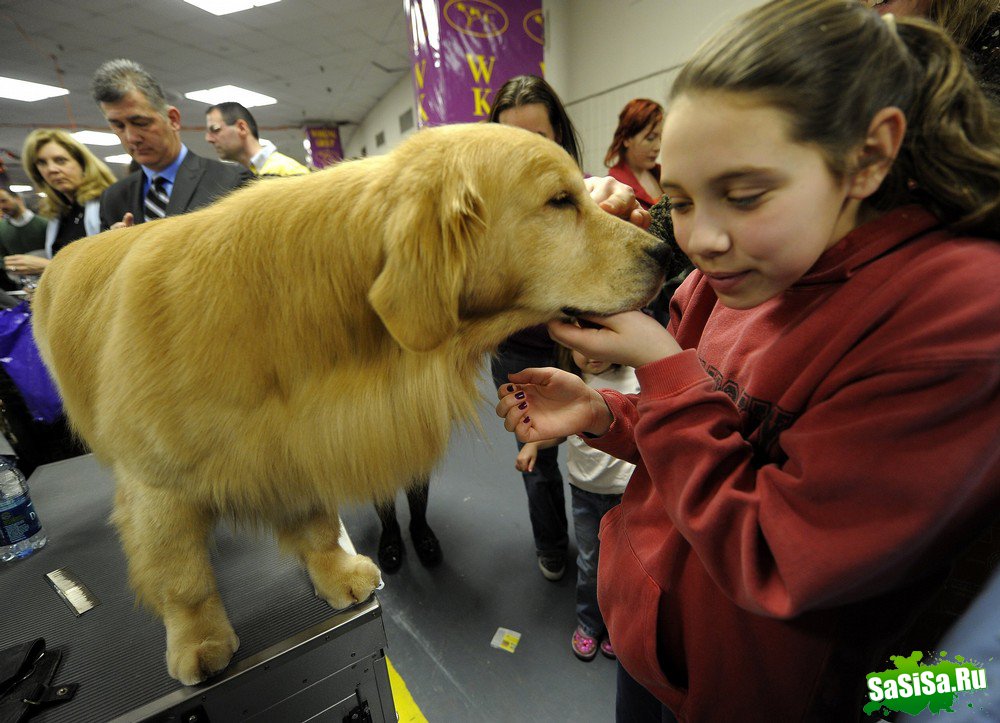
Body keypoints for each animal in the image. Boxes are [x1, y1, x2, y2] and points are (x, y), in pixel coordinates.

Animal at [31, 123, 668, 684]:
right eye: (560, 201)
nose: (664, 249)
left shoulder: (296, 443)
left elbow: (315, 525)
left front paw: (334, 571)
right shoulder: (157, 486)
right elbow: (183, 577)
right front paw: (199, 638)